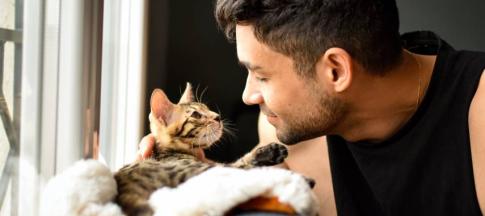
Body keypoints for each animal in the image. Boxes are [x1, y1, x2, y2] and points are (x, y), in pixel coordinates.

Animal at [113, 83, 288, 216]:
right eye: (196, 115)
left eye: (207, 108)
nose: (217, 116)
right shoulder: (207, 171)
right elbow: (240, 163)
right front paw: (270, 152)